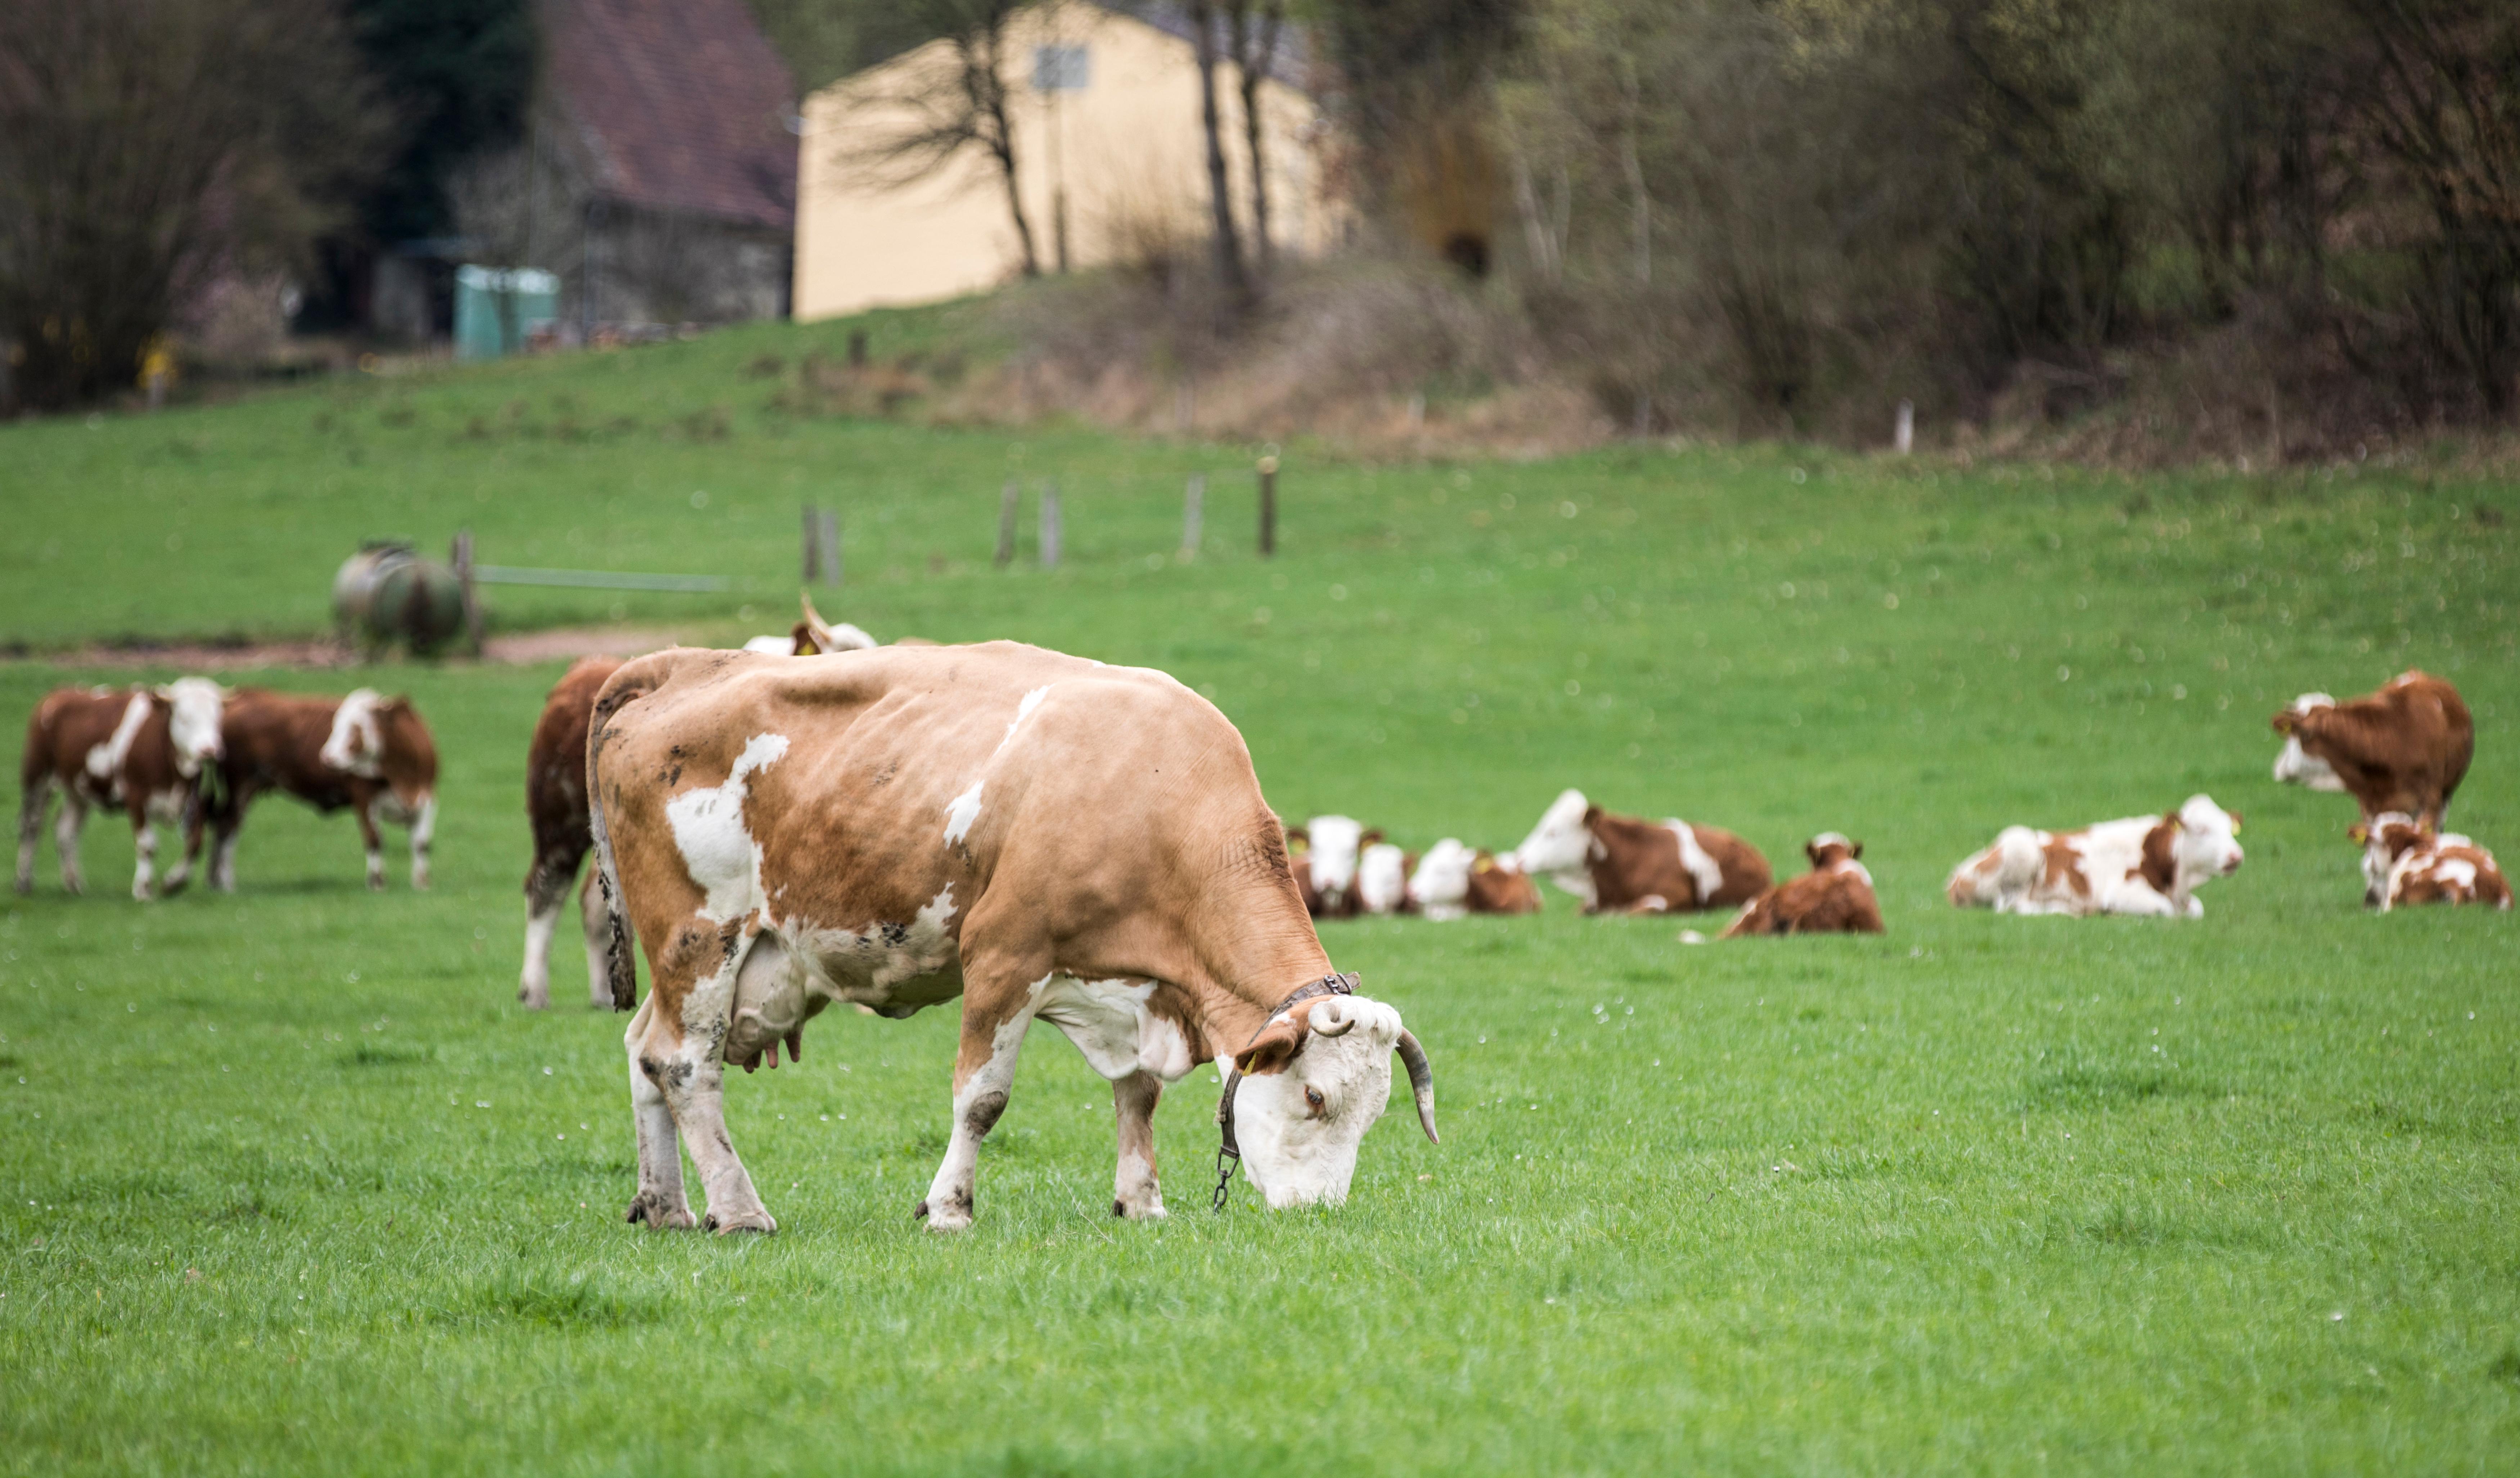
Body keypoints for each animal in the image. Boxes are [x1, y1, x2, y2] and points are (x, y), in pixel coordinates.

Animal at [17, 680, 226, 900]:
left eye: (217, 719)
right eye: (184, 718)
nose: (209, 750)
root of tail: (60, 692)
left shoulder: (195, 800)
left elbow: (196, 842)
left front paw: (173, 883)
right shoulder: (137, 796)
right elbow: (147, 845)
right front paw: (143, 889)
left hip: (79, 789)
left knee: (66, 830)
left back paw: (74, 884)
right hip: (38, 777)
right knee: (31, 825)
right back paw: (24, 882)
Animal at [206, 688, 439, 892]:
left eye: (355, 727)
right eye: (335, 725)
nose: (327, 757)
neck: (403, 778)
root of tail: (243, 697)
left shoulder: (427, 800)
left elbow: (421, 844)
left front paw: (422, 885)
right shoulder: (364, 800)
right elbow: (375, 840)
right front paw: (377, 885)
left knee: (230, 828)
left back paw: (219, 882)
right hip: (239, 786)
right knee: (227, 827)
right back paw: (226, 885)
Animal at [586, 641, 1438, 1234]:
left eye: (1374, 1116)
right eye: (1317, 1096)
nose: (1318, 1213)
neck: (1156, 796)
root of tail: (678, 664)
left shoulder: (1130, 988)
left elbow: (1139, 1094)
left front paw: (1142, 1201)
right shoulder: (1002, 957)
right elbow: (982, 1099)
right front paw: (949, 1208)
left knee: (642, 1051)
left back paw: (665, 1205)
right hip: (700, 938)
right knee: (683, 1064)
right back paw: (738, 1209)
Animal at [1946, 795, 2244, 917]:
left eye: (2230, 829)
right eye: (2202, 829)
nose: (2236, 856)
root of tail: (1957, 876)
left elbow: (2196, 909)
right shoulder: (2123, 891)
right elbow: (2165, 910)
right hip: (2020, 844)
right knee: (2014, 906)